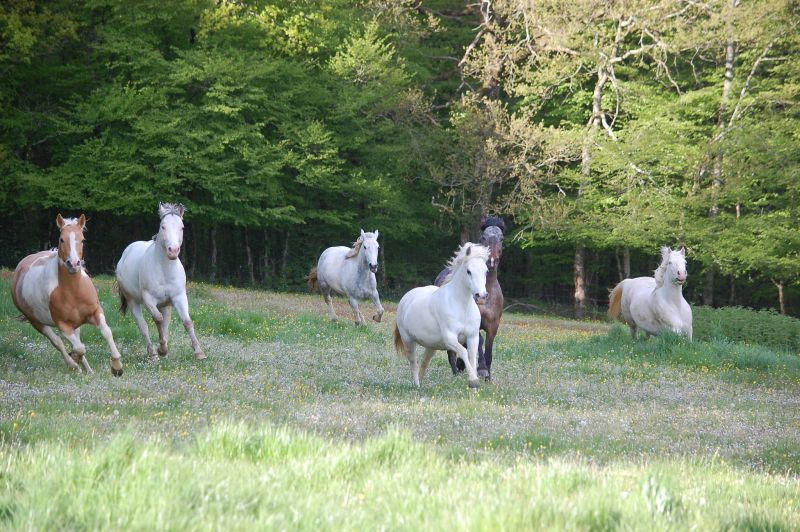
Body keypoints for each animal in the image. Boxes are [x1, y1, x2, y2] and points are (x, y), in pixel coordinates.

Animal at [10, 215, 123, 374]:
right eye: (61, 239)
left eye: (82, 239)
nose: (73, 264)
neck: (73, 291)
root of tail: (21, 266)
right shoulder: (63, 325)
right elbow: (79, 348)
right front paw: (74, 359)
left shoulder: (95, 312)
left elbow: (106, 332)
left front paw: (117, 367)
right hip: (36, 322)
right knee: (58, 342)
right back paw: (73, 364)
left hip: (75, 324)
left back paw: (88, 370)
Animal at [115, 202, 205, 360]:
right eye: (163, 226)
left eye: (182, 227)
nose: (173, 251)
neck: (165, 269)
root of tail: (125, 253)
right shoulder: (149, 299)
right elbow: (157, 319)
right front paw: (161, 349)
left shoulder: (179, 297)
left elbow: (187, 322)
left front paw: (199, 352)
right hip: (133, 302)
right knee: (143, 326)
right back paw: (153, 354)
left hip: (166, 305)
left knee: (166, 324)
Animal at [392, 243, 488, 388]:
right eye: (468, 271)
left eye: (486, 271)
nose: (481, 296)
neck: (462, 307)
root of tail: (406, 297)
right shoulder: (450, 338)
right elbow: (463, 352)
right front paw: (473, 381)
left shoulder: (473, 337)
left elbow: (472, 356)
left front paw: (474, 381)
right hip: (408, 340)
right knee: (413, 362)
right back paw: (416, 385)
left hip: (432, 346)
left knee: (424, 362)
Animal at [432, 214, 506, 380]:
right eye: (484, 237)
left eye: (501, 238)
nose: (492, 261)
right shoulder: (474, 324)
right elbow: (479, 343)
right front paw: (482, 369)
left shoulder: (493, 326)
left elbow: (489, 349)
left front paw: (488, 376)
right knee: (451, 351)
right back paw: (456, 371)